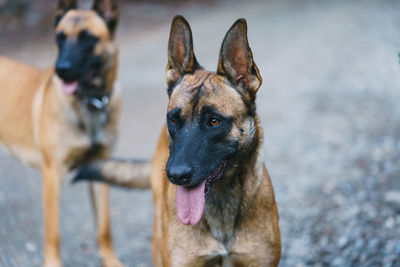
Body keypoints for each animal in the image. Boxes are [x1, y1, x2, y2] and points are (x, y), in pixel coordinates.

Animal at [0, 1, 126, 266]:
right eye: (60, 37)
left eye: (89, 38)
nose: (61, 69)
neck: (90, 102)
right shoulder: (51, 176)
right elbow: (53, 233)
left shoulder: (99, 170)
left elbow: (104, 227)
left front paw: (111, 260)